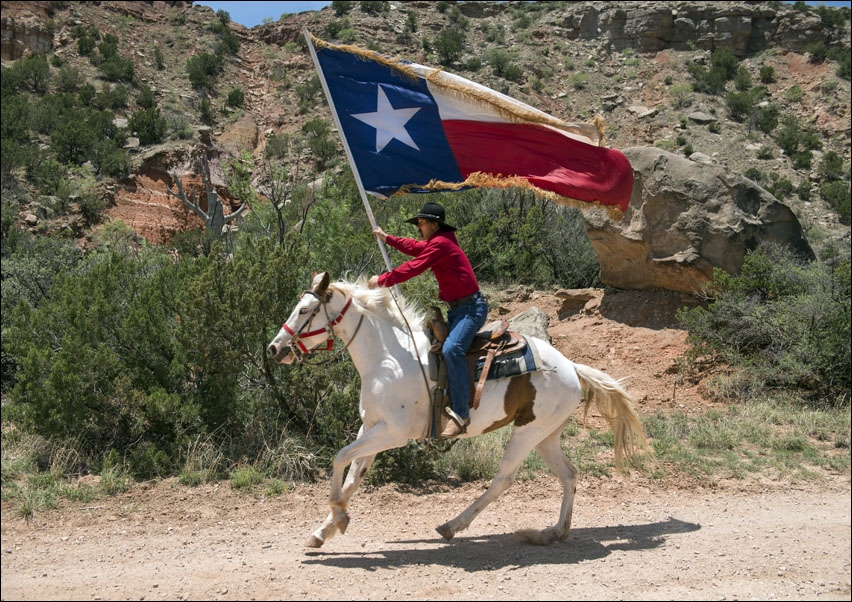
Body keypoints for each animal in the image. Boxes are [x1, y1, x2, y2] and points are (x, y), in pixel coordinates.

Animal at [270, 272, 648, 548]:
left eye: (304, 310)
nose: (275, 348)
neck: (390, 358)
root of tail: (571, 366)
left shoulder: (392, 433)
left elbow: (338, 460)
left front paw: (338, 517)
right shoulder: (371, 428)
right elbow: (352, 477)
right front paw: (326, 529)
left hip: (528, 433)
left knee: (503, 480)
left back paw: (453, 525)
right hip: (546, 435)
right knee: (569, 475)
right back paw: (553, 532)